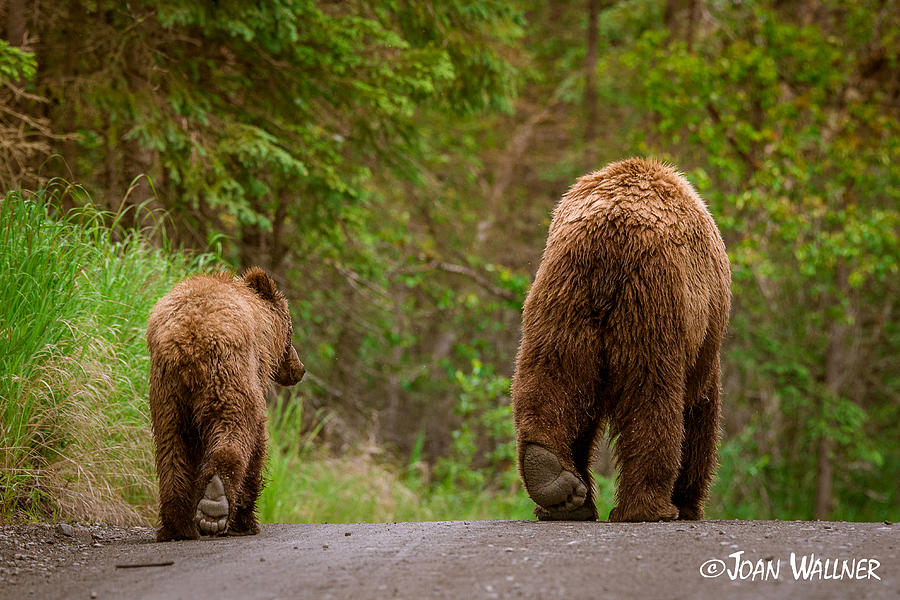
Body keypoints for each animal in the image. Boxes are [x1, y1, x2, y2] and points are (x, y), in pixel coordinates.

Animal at [146, 266, 304, 540]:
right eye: (290, 333)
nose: (299, 369)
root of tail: (188, 340)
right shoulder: (253, 373)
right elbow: (258, 442)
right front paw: (246, 521)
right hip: (226, 375)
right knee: (233, 427)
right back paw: (215, 503)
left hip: (167, 395)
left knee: (171, 447)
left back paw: (178, 526)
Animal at [510, 158, 728, 520]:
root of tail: (608, 244)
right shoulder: (703, 336)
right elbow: (699, 409)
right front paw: (689, 502)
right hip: (651, 301)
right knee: (652, 397)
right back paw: (649, 508)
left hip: (562, 298)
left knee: (552, 376)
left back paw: (557, 486)